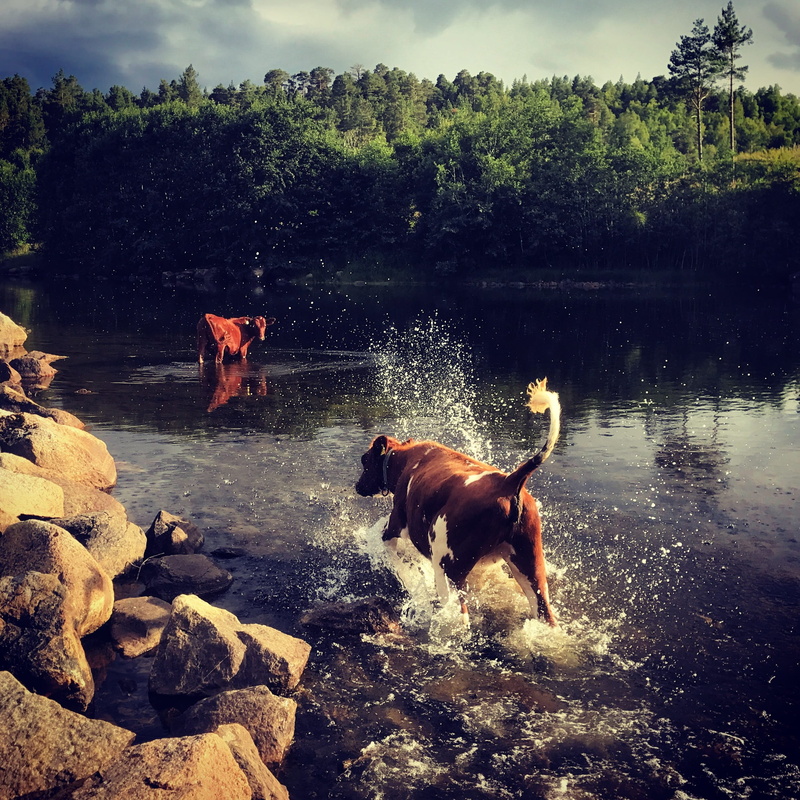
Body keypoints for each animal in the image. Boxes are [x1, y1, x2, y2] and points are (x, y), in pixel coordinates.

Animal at [355, 379, 561, 627]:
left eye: (364, 460)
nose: (357, 486)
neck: (406, 459)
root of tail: (508, 481)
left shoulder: (395, 525)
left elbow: (395, 559)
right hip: (531, 566)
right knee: (545, 613)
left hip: (447, 568)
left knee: (460, 617)